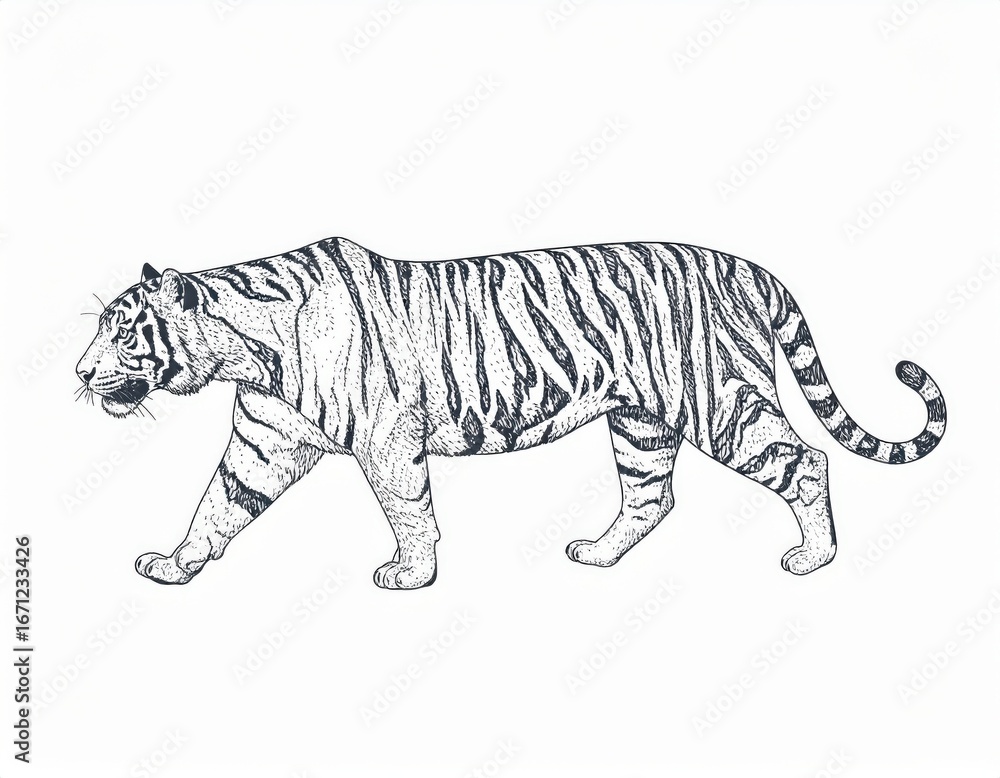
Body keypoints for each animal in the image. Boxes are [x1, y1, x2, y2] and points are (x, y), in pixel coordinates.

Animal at [75, 237, 946, 589]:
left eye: (122, 331)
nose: (80, 374)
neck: (248, 352)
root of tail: (744, 266)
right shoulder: (264, 443)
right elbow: (217, 506)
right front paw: (175, 565)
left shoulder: (387, 439)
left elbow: (409, 509)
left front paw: (411, 574)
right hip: (641, 424)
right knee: (652, 497)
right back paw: (597, 555)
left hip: (721, 405)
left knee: (807, 460)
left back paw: (815, 557)